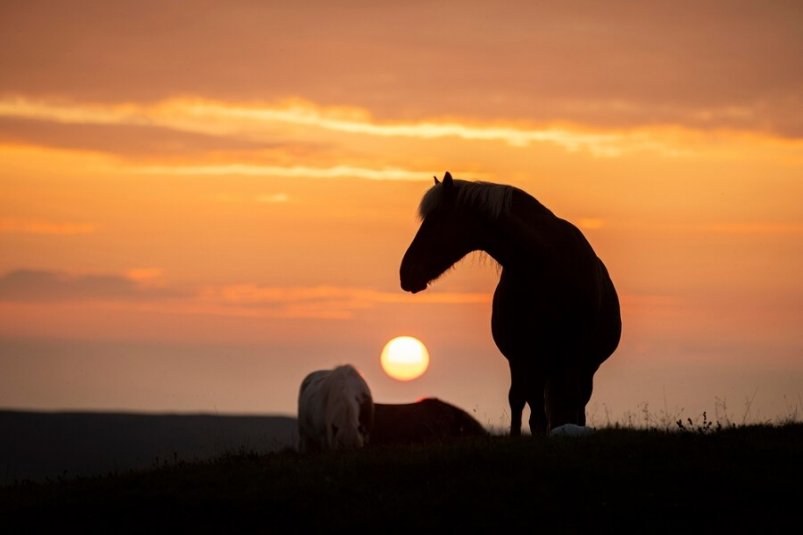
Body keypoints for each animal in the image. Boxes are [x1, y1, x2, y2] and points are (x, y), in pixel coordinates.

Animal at [400, 174, 620, 438]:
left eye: (435, 221)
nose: (405, 272)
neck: (543, 265)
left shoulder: (575, 356)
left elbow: (570, 405)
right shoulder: (522, 355)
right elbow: (527, 409)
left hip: (578, 367)